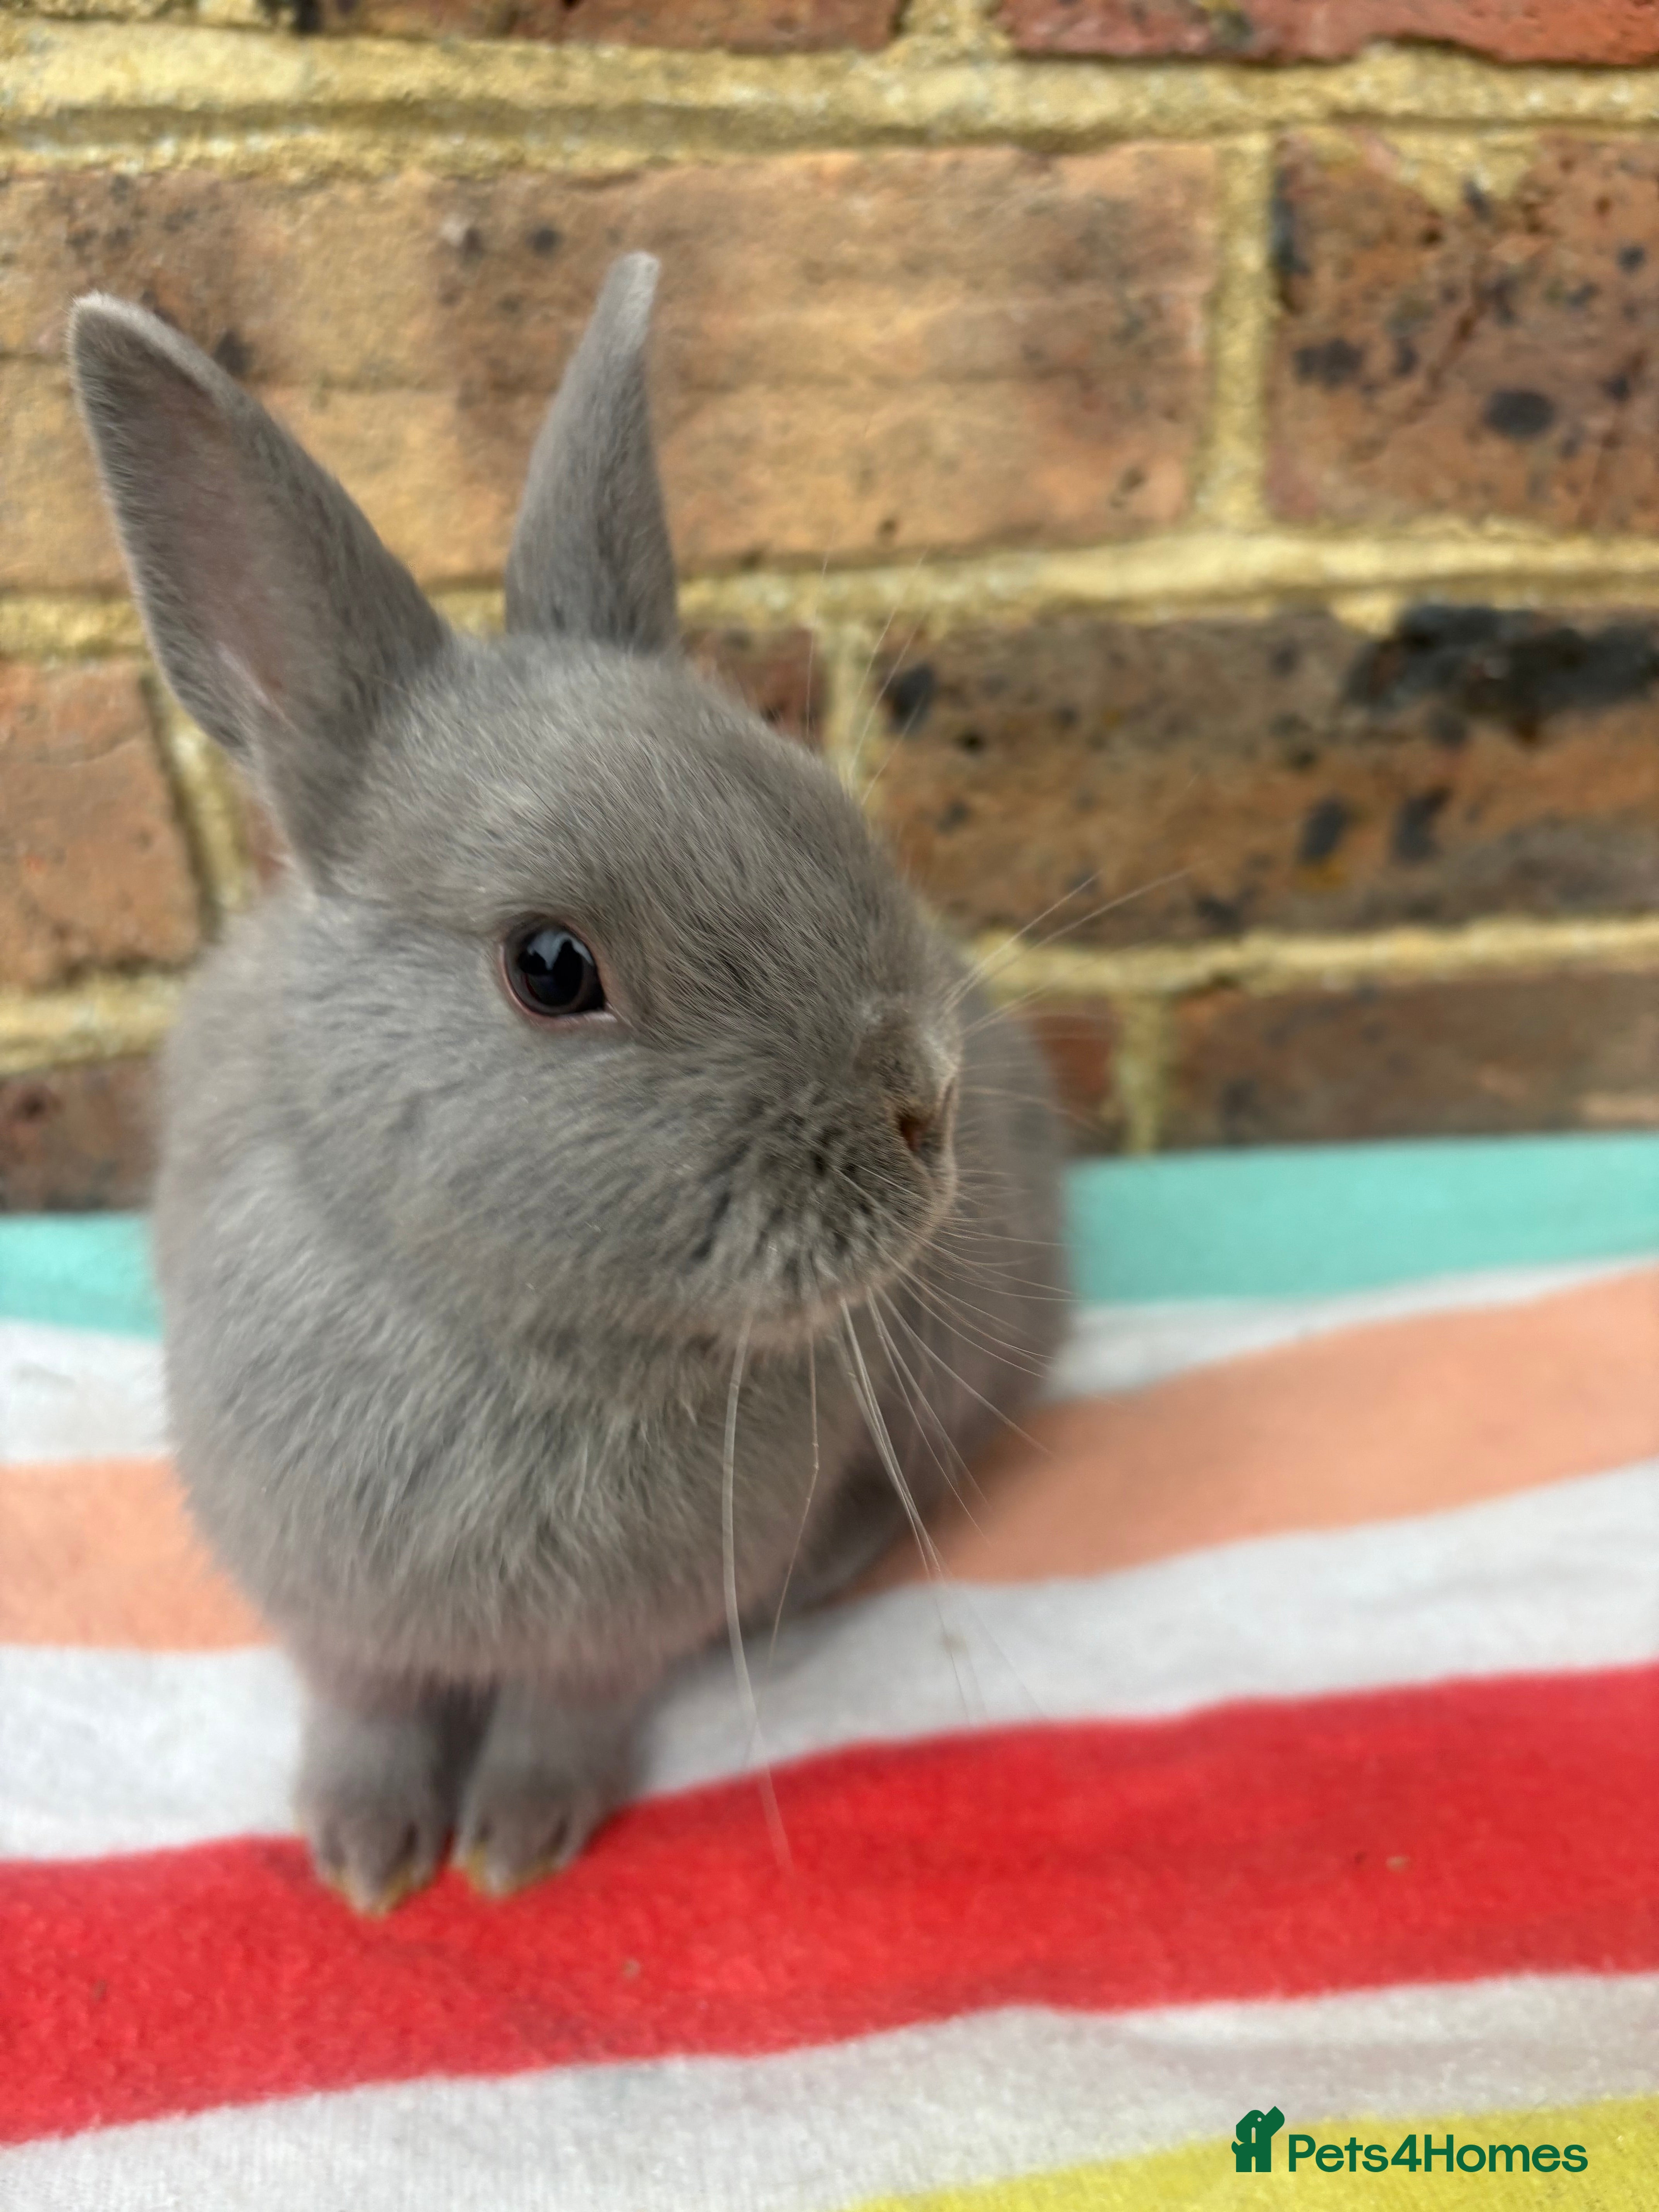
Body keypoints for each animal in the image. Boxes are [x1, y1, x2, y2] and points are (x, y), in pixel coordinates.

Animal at [69, 254, 1069, 1914]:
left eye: (809, 798)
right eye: (550, 966)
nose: (920, 1109)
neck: (522, 1340)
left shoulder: (617, 1630)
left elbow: (563, 1711)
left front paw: (517, 1844)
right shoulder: (331, 1608)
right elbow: (363, 1708)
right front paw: (364, 1856)